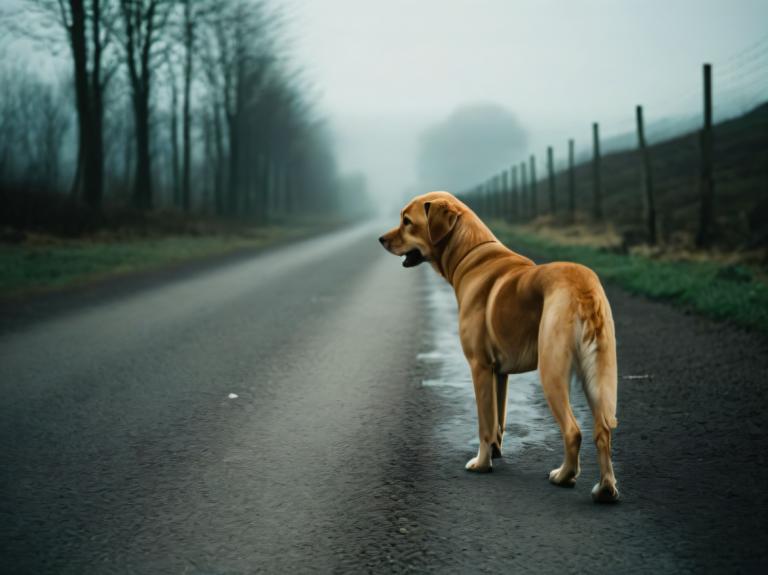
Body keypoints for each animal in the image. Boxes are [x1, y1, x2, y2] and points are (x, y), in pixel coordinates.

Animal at [380, 191, 620, 502]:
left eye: (407, 221)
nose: (381, 239)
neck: (470, 254)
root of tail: (582, 285)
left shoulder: (479, 367)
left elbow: (485, 422)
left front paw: (482, 463)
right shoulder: (500, 373)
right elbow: (498, 420)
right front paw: (495, 452)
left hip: (551, 371)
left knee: (573, 431)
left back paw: (564, 476)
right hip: (598, 375)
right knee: (602, 430)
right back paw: (605, 489)